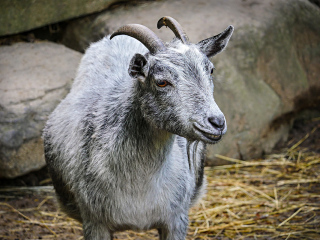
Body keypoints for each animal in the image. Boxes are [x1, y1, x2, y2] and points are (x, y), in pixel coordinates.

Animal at [43, 16, 232, 240]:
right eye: (161, 82)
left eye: (210, 70)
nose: (217, 122)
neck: (140, 185)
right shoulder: (95, 223)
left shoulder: (176, 219)